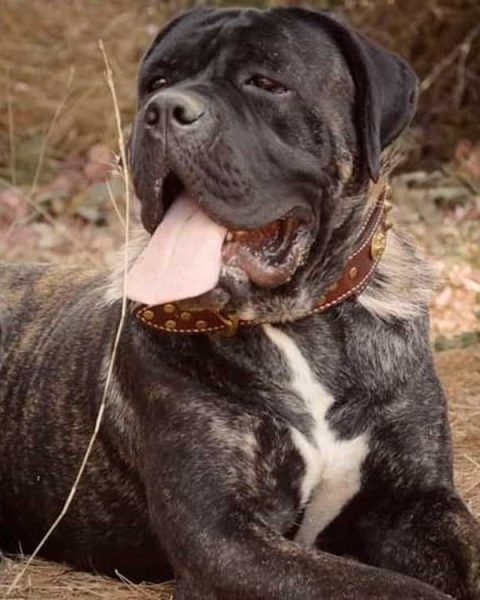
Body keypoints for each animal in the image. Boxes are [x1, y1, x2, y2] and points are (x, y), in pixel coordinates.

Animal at [1, 6, 480, 599]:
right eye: (156, 82)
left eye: (266, 83)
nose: (164, 110)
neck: (298, 323)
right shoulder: (223, 537)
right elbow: (387, 587)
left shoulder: (419, 502)